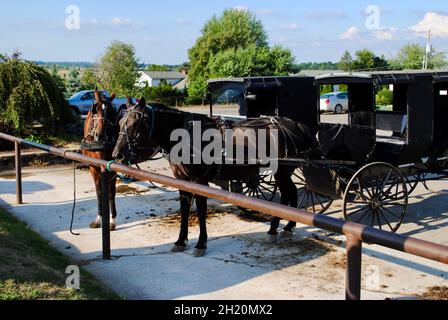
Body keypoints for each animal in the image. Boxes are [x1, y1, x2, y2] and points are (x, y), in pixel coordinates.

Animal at [82, 89, 120, 231]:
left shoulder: (112, 168)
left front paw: (112, 221)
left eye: (111, 112)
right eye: (95, 110)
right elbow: (99, 192)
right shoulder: (93, 167)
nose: (101, 134)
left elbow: (111, 193)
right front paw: (99, 218)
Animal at [110, 99, 316, 256]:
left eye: (135, 124)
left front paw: (201, 243)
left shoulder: (199, 181)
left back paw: (280, 227)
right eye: (120, 123)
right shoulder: (183, 182)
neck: (186, 137)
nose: (117, 154)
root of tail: (295, 125)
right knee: (289, 193)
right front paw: (180, 241)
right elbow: (184, 210)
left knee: (288, 193)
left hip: (282, 171)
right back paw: (284, 227)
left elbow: (201, 210)